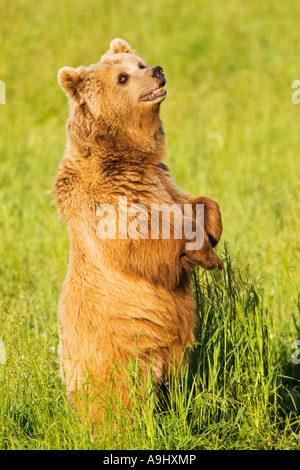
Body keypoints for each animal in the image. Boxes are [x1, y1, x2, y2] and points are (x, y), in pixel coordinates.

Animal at [54, 38, 223, 420]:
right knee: (118, 397)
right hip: (116, 351)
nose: (157, 70)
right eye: (122, 77)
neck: (127, 155)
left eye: (140, 64)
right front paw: (206, 254)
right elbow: (142, 237)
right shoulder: (108, 199)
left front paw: (214, 231)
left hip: (172, 355)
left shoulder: (160, 179)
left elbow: (196, 202)